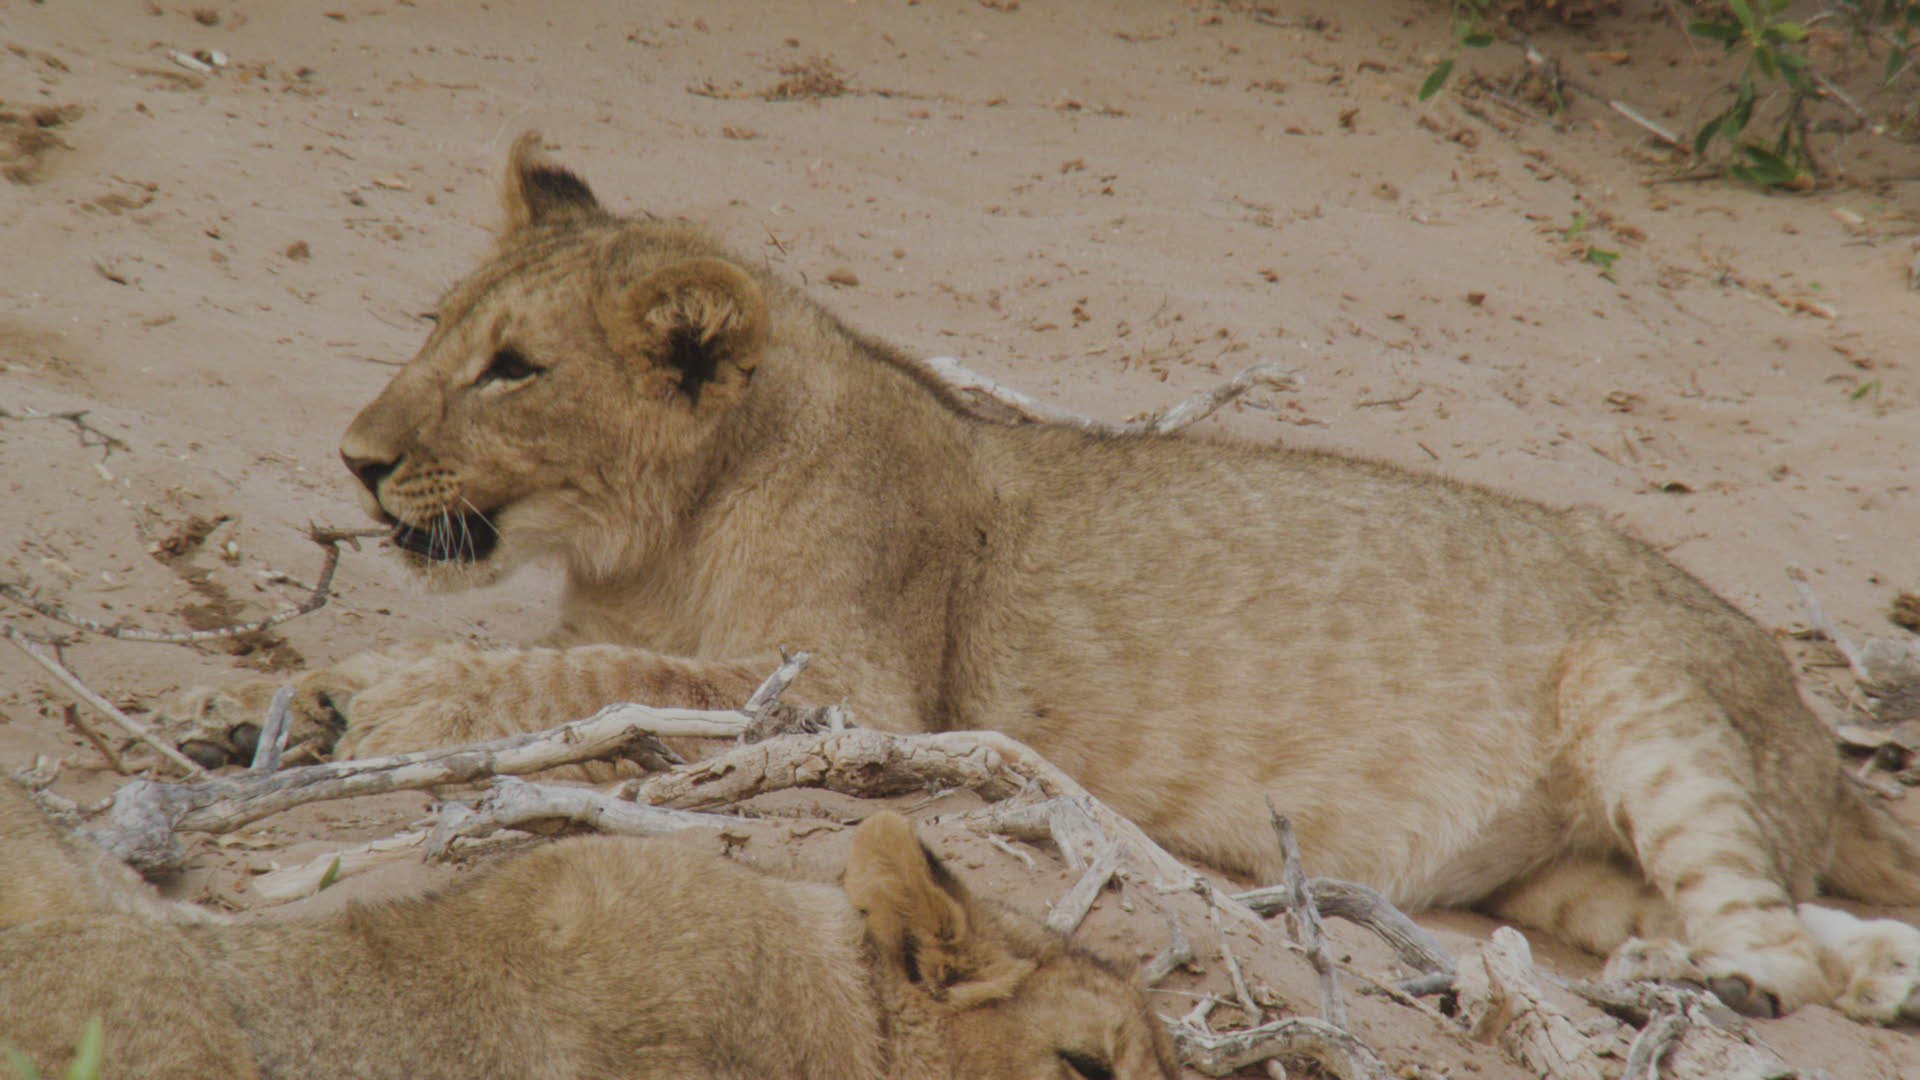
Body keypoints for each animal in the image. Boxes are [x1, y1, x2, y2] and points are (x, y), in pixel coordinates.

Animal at [165, 132, 1920, 1024]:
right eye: (439, 330)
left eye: (513, 370)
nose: (353, 460)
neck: (654, 534)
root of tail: (1818, 730)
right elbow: (570, 661)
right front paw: (269, 715)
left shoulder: (850, 690)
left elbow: (585, 680)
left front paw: (362, 705)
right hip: (1548, 878)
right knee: (1807, 929)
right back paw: (1801, 975)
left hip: (1642, 684)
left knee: (1769, 935)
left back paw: (1706, 984)